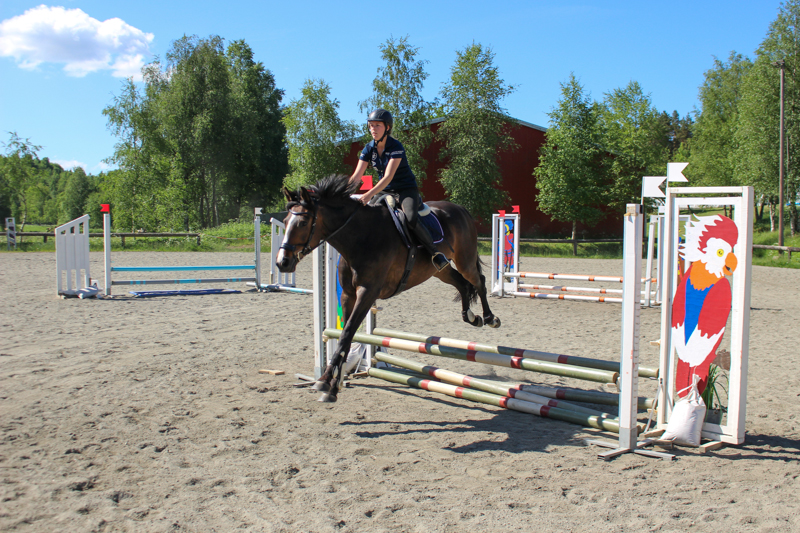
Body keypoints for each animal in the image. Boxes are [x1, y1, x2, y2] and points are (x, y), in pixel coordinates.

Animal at [277, 174, 500, 402]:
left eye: (303, 222)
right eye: (285, 222)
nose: (282, 263)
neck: (359, 237)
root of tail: (460, 209)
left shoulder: (368, 293)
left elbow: (347, 332)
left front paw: (328, 385)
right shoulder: (348, 294)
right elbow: (344, 335)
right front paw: (330, 381)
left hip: (464, 260)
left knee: (478, 280)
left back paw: (490, 318)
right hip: (439, 270)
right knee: (462, 284)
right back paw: (471, 317)